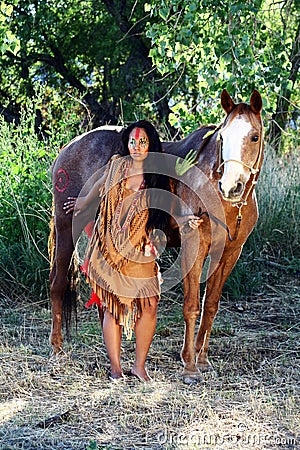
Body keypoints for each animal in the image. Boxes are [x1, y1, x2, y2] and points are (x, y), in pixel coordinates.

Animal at [48, 89, 262, 378]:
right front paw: (189, 365)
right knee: (58, 283)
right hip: (66, 227)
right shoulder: (194, 244)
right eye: (222, 137)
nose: (231, 187)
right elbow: (192, 305)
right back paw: (57, 349)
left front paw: (203, 360)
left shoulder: (229, 252)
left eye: (254, 136)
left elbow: (211, 305)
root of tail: (70, 147)